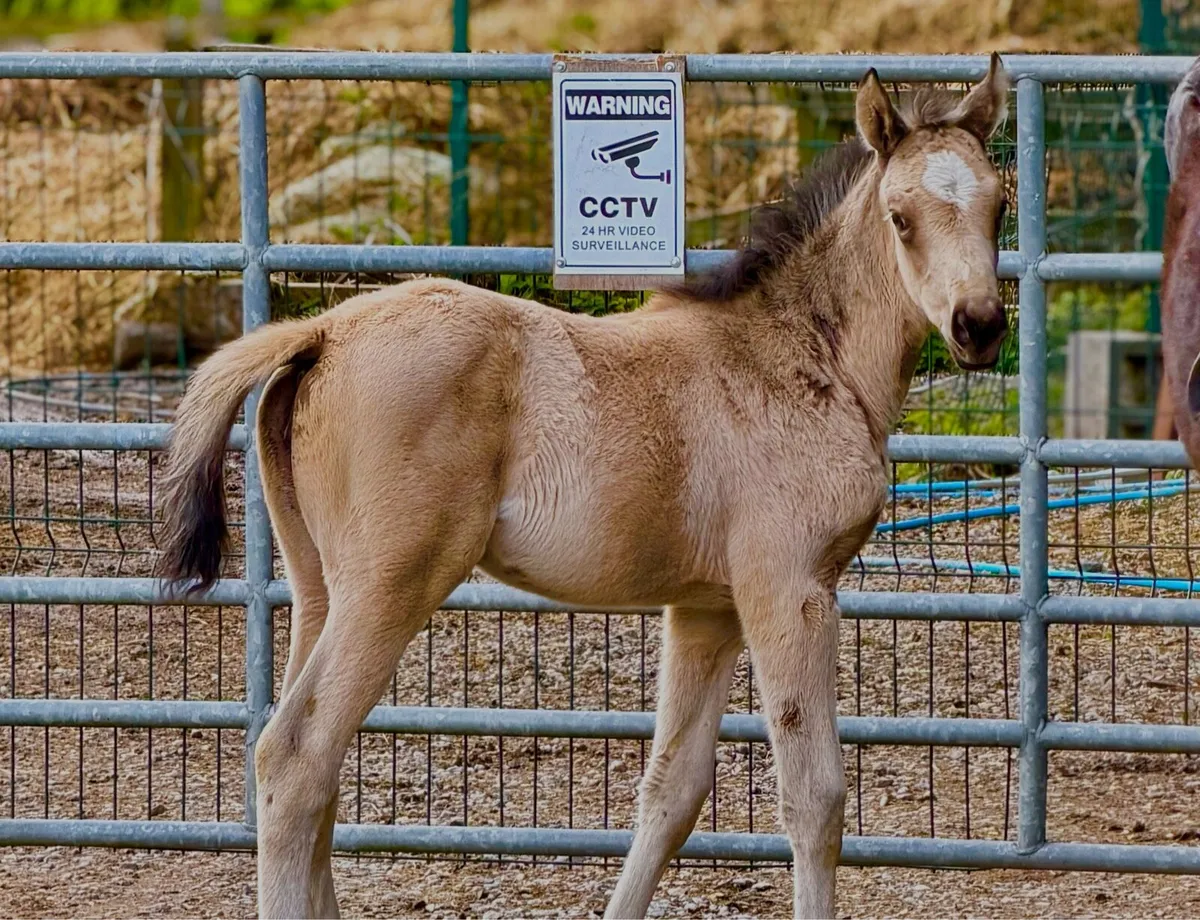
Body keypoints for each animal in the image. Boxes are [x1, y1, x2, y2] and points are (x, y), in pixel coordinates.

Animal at [157, 55, 1010, 920]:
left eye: (1000, 204)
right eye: (901, 217)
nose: (979, 325)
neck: (803, 355)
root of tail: (320, 333)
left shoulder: (707, 609)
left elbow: (672, 791)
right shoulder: (791, 588)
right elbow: (816, 797)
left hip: (319, 586)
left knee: (314, 768)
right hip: (391, 583)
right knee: (296, 758)